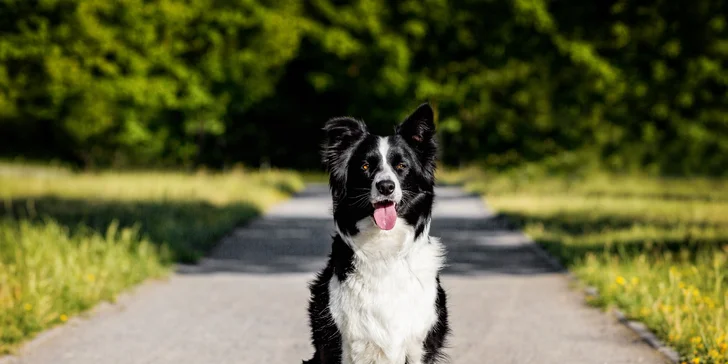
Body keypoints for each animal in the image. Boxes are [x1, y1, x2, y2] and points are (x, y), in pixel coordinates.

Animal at [302, 103, 450, 364]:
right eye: (365, 167)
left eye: (401, 166)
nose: (386, 186)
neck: (384, 249)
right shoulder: (339, 342)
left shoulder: (420, 344)